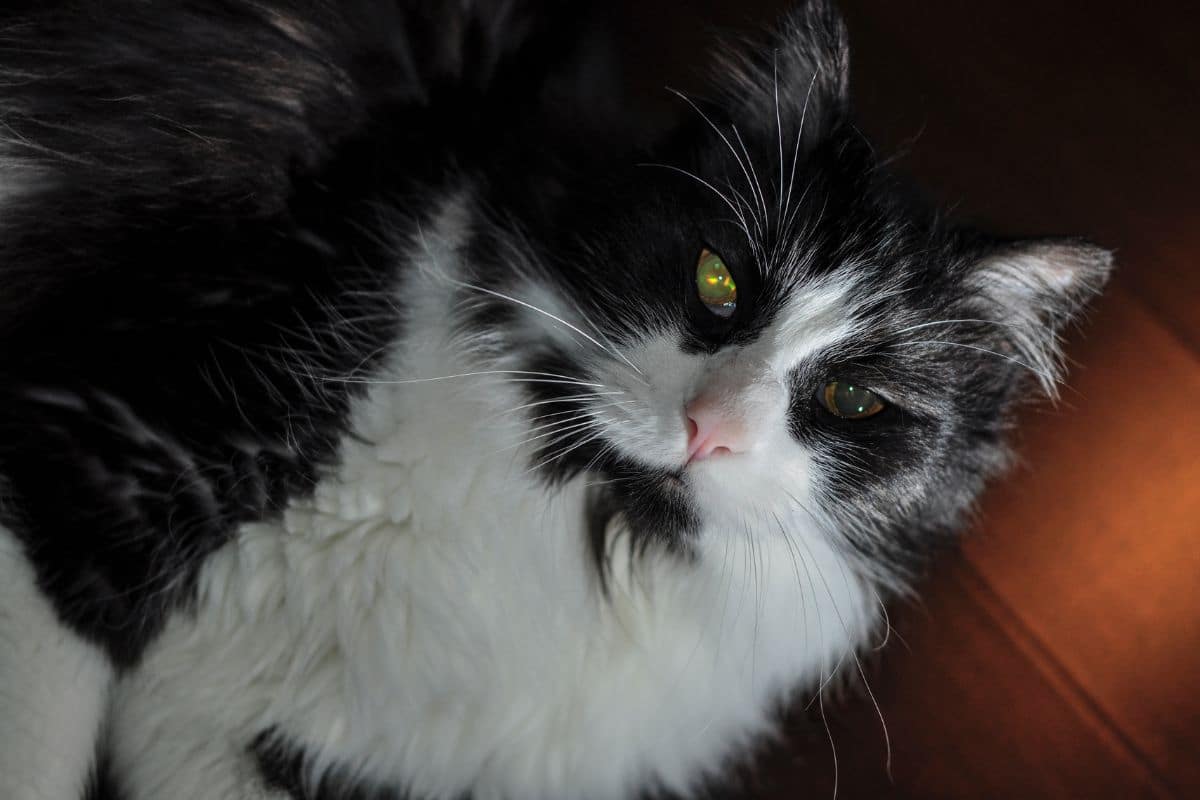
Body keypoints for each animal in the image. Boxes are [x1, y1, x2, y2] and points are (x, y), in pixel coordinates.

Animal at [0, 1, 1108, 800]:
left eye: (851, 398)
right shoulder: (104, 445)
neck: (588, 518)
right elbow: (41, 750)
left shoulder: (235, 744)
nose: (711, 430)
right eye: (717, 280)